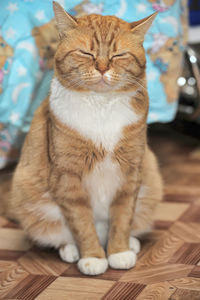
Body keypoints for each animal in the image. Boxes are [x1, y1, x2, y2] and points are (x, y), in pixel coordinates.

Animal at [4, 1, 163, 274]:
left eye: (118, 55)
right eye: (86, 53)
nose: (102, 67)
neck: (101, 106)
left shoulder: (131, 171)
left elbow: (123, 216)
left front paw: (118, 251)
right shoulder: (67, 177)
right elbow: (82, 223)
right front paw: (93, 257)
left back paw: (130, 243)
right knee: (59, 233)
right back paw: (70, 249)